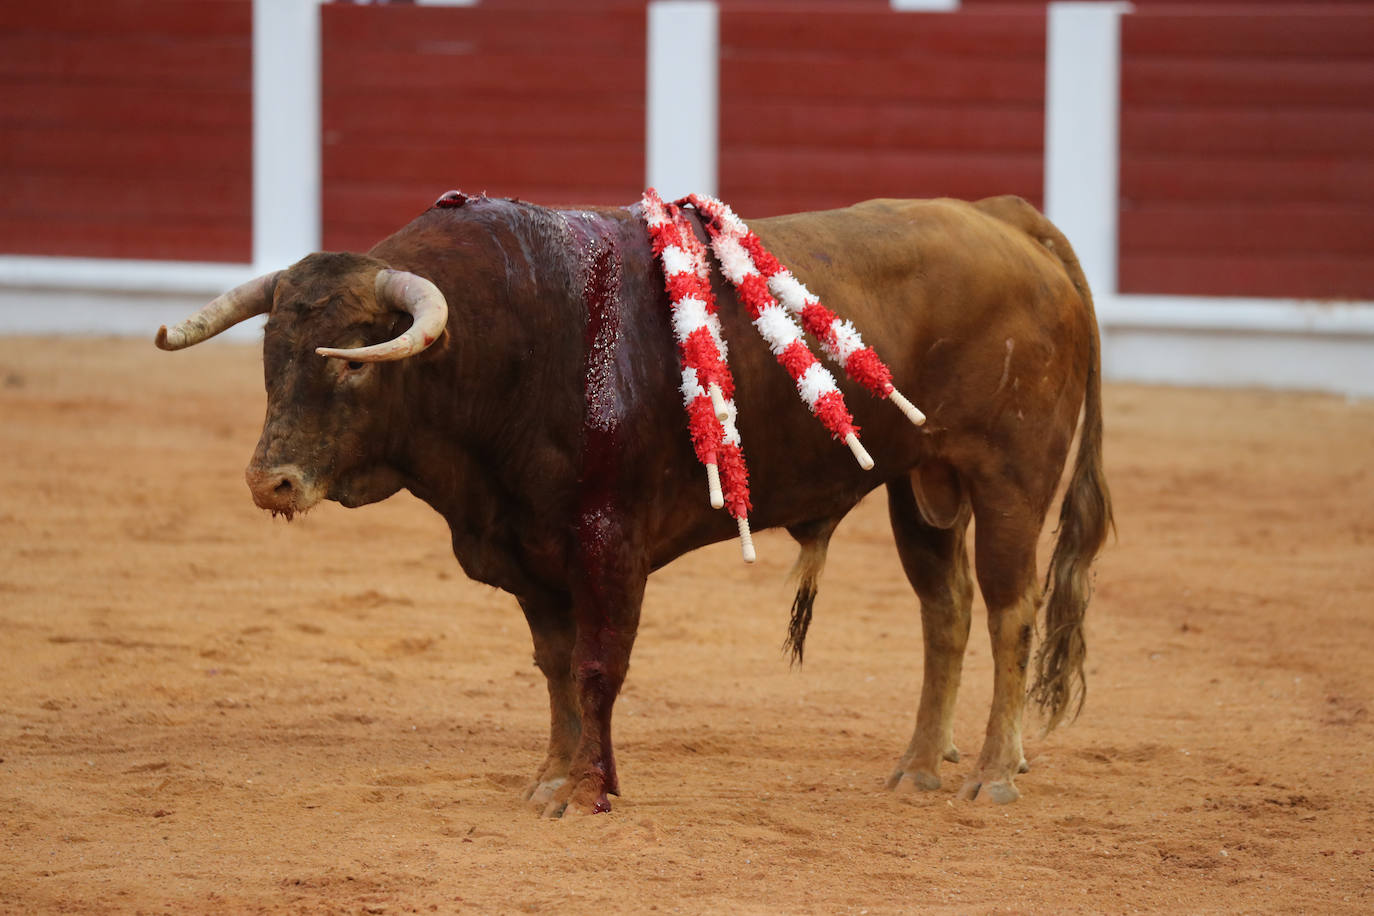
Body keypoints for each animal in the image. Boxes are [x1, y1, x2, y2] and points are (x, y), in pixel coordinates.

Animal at [155, 193, 1110, 818]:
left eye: (354, 362)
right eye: (271, 353)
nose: (271, 481)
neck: (509, 339)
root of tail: (1007, 218)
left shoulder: (608, 548)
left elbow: (597, 667)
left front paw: (587, 790)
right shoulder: (532, 556)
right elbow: (556, 671)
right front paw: (551, 778)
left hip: (1010, 479)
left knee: (1010, 610)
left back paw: (992, 773)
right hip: (923, 486)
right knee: (944, 613)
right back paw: (916, 768)